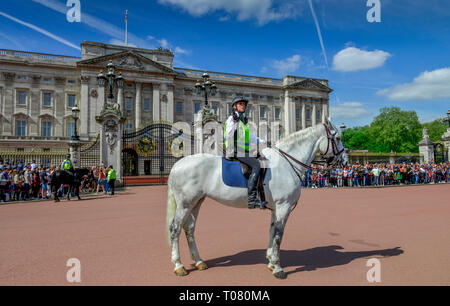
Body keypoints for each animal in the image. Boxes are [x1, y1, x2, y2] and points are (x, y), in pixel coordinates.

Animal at [167, 120, 346, 278]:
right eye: (337, 138)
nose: (345, 160)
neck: (286, 162)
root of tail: (177, 164)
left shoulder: (276, 208)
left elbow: (272, 231)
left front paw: (271, 262)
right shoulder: (284, 206)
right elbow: (279, 235)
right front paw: (278, 268)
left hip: (196, 202)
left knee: (189, 229)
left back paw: (199, 261)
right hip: (185, 204)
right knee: (175, 228)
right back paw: (179, 266)